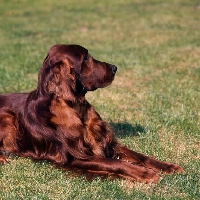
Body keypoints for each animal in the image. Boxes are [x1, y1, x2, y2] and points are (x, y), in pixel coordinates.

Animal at [0, 44, 184, 183]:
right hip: (8, 117)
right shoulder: (76, 156)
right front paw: (145, 173)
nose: (115, 67)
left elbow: (140, 156)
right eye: (86, 58)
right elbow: (114, 163)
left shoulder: (107, 142)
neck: (75, 107)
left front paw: (168, 166)